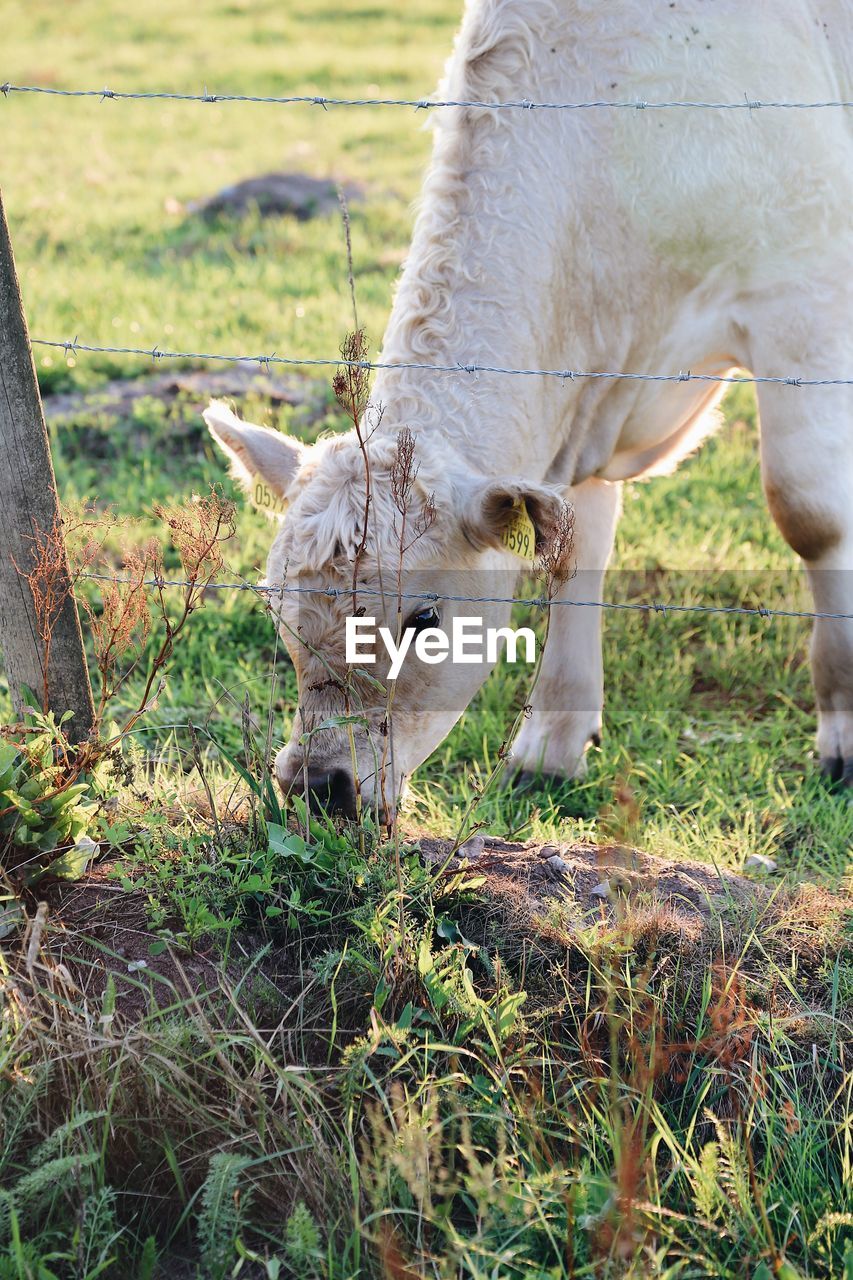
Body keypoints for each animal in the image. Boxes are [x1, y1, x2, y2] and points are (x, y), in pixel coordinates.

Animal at [207, 0, 850, 814]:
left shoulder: (804, 292)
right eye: (276, 606)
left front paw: (844, 735)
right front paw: (552, 747)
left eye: (425, 618)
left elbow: (808, 511)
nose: (321, 786)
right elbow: (575, 551)